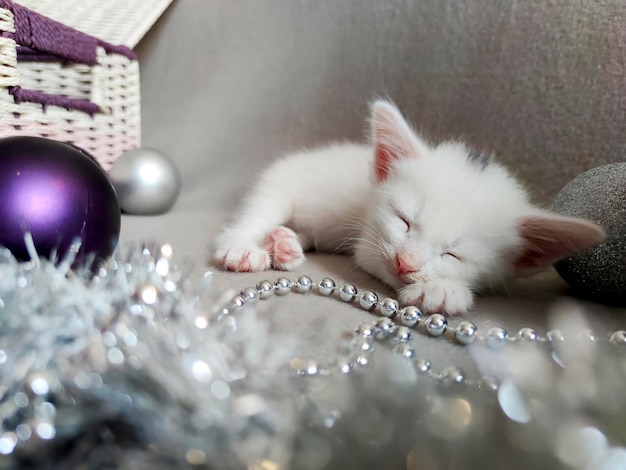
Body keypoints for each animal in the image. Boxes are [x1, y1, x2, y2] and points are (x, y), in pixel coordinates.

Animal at [212, 100, 604, 314]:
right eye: (403, 221)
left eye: (453, 254)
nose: (406, 262)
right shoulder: (368, 243)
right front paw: (440, 290)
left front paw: (443, 288)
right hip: (281, 182)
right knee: (258, 213)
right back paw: (244, 247)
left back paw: (285, 245)